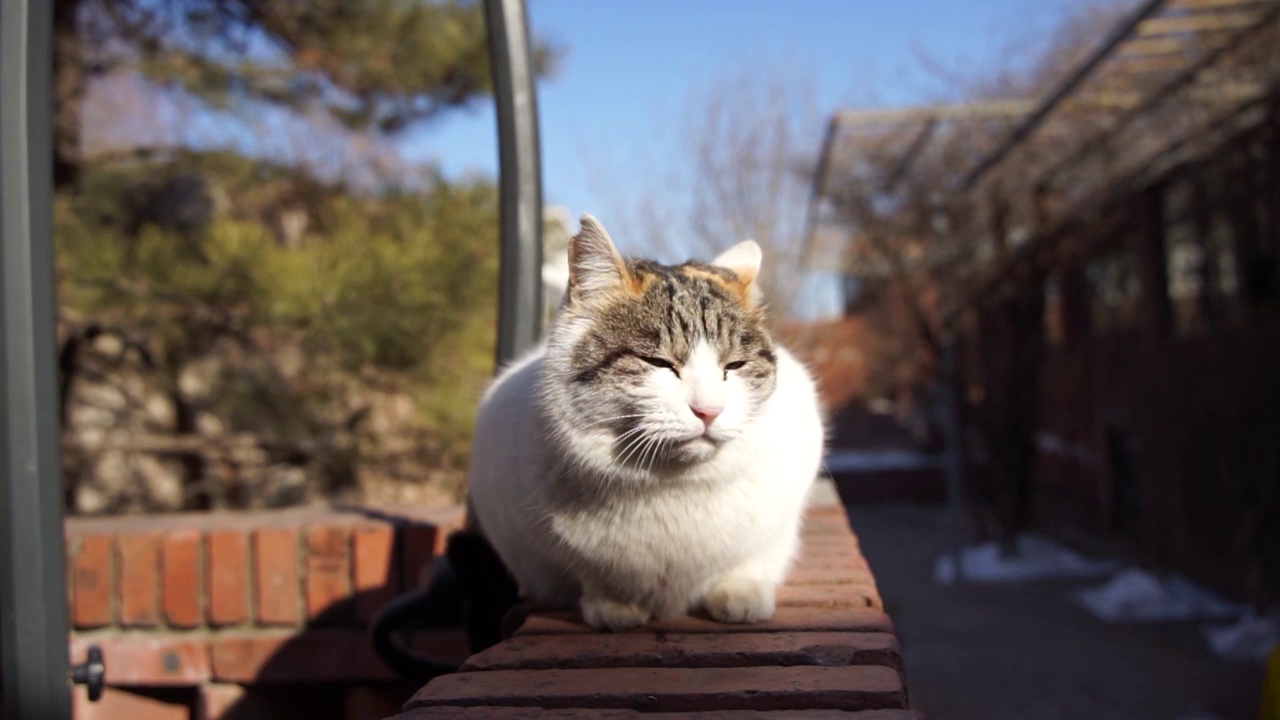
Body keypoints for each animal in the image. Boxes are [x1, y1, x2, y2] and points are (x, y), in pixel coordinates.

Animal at [465, 211, 824, 627]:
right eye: (658, 362)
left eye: (734, 366)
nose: (709, 410)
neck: (675, 488)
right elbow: (590, 573)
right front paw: (614, 606)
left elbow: (752, 556)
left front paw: (740, 591)